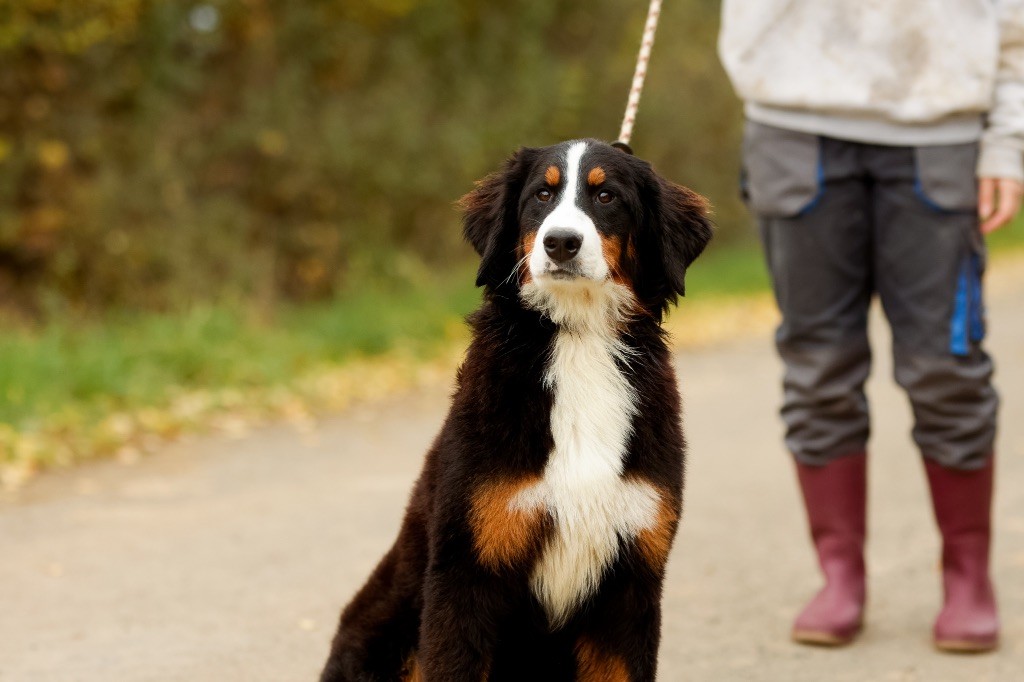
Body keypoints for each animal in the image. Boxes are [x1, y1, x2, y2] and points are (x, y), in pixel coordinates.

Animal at [319, 139, 712, 679]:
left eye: (606, 196)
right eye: (541, 195)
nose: (561, 243)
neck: (578, 340)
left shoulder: (630, 584)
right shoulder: (467, 573)